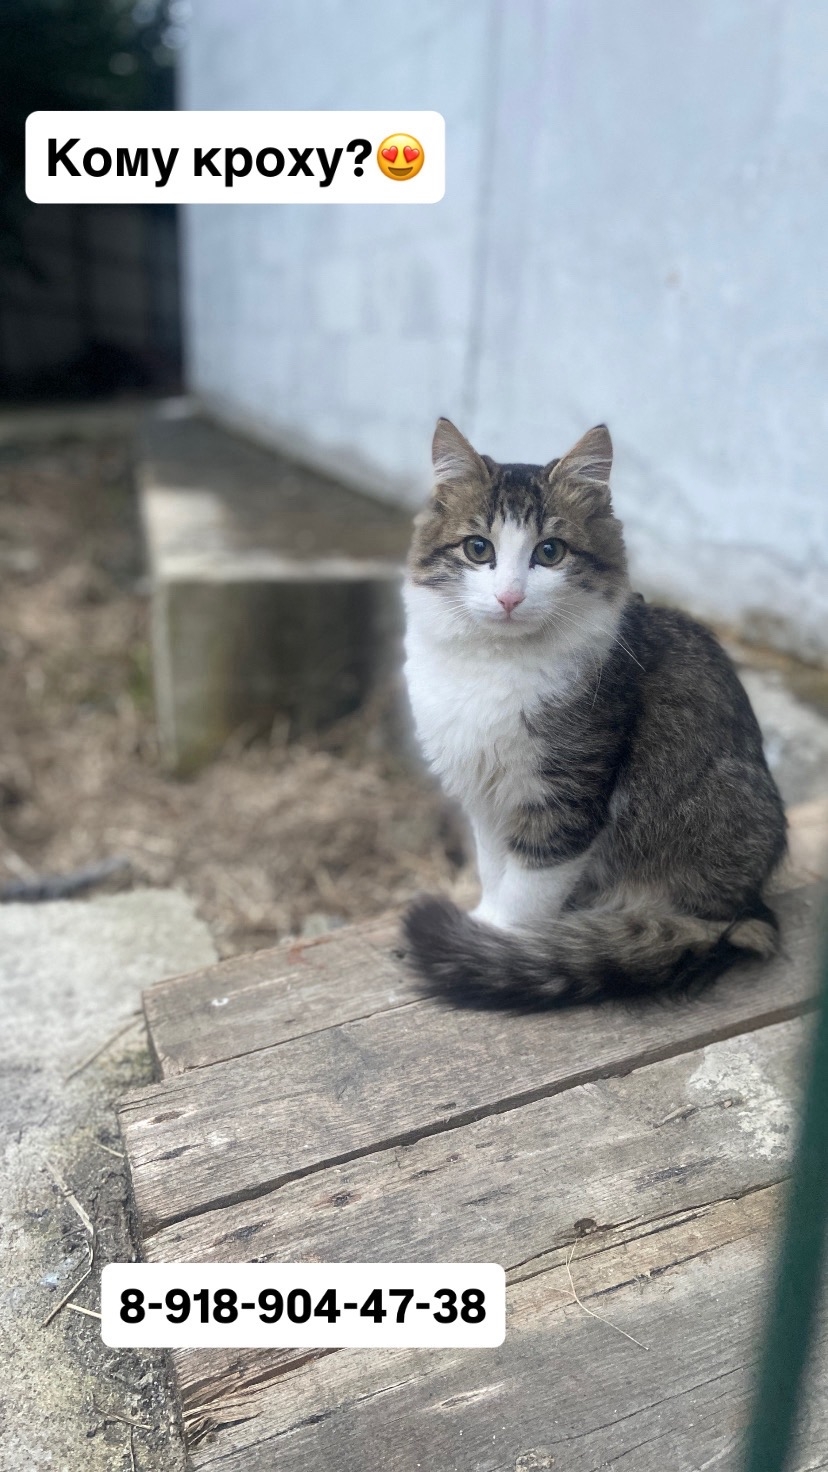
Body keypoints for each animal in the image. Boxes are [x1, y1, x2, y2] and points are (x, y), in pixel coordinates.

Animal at [401, 418, 787, 1007]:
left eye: (550, 552)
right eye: (477, 548)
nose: (509, 597)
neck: (496, 665)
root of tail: (751, 908)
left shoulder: (566, 795)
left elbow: (526, 893)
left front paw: (499, 945)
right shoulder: (486, 796)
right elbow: (494, 870)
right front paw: (483, 925)